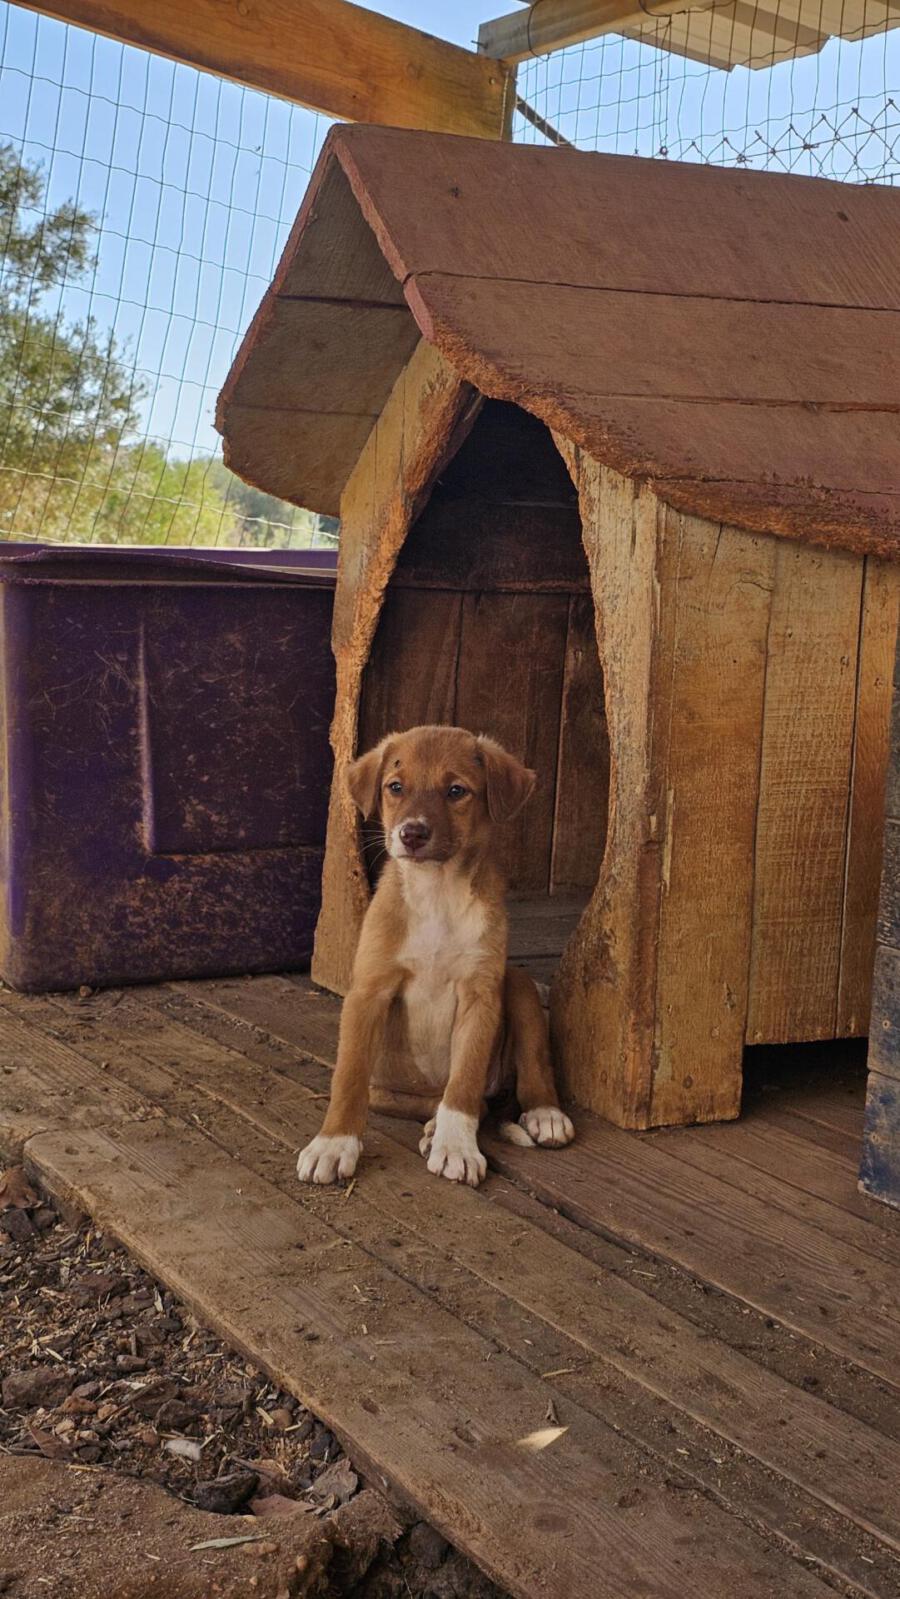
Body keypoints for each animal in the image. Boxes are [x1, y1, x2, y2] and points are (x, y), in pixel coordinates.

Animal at [296, 724, 575, 1189]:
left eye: (456, 790)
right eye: (395, 787)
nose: (412, 833)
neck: (436, 893)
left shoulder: (480, 996)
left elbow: (463, 1086)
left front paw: (457, 1147)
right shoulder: (368, 992)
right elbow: (348, 1078)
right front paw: (333, 1144)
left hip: (516, 986)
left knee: (522, 1069)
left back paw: (544, 1115)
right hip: (388, 1089)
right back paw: (429, 1128)